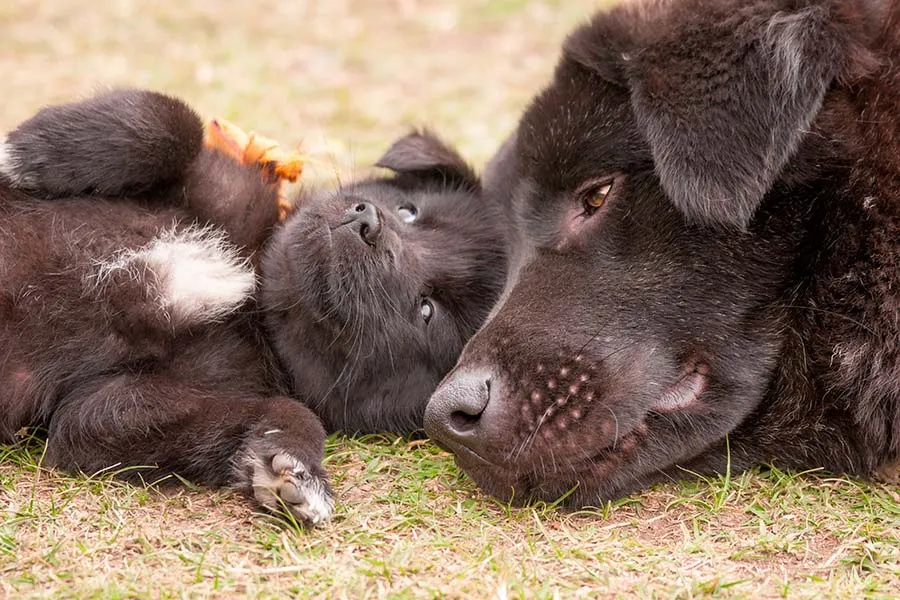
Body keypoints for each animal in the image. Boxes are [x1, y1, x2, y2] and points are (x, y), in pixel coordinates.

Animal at [0, 89, 506, 524]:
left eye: (427, 309)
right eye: (409, 211)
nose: (368, 223)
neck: (254, 298)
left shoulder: (108, 408)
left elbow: (283, 409)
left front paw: (294, 468)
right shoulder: (223, 185)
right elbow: (171, 120)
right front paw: (23, 153)